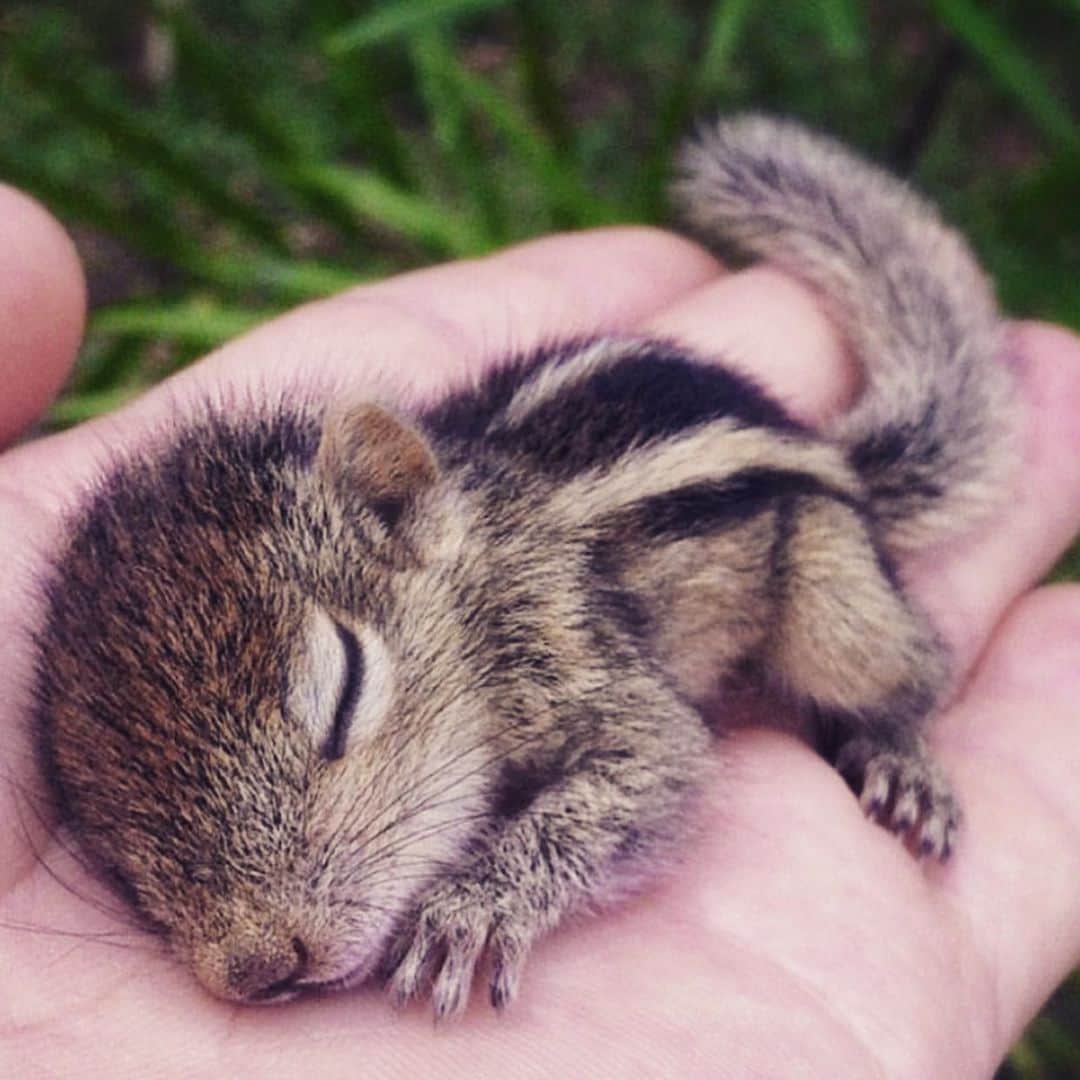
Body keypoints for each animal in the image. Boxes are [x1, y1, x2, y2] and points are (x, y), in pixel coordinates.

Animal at [32, 115, 1015, 1019]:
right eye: (106, 842)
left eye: (345, 693)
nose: (259, 966)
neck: (477, 580)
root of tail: (828, 449)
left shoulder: (576, 659)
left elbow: (651, 771)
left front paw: (473, 908)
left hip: (836, 600)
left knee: (908, 671)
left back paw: (901, 759)